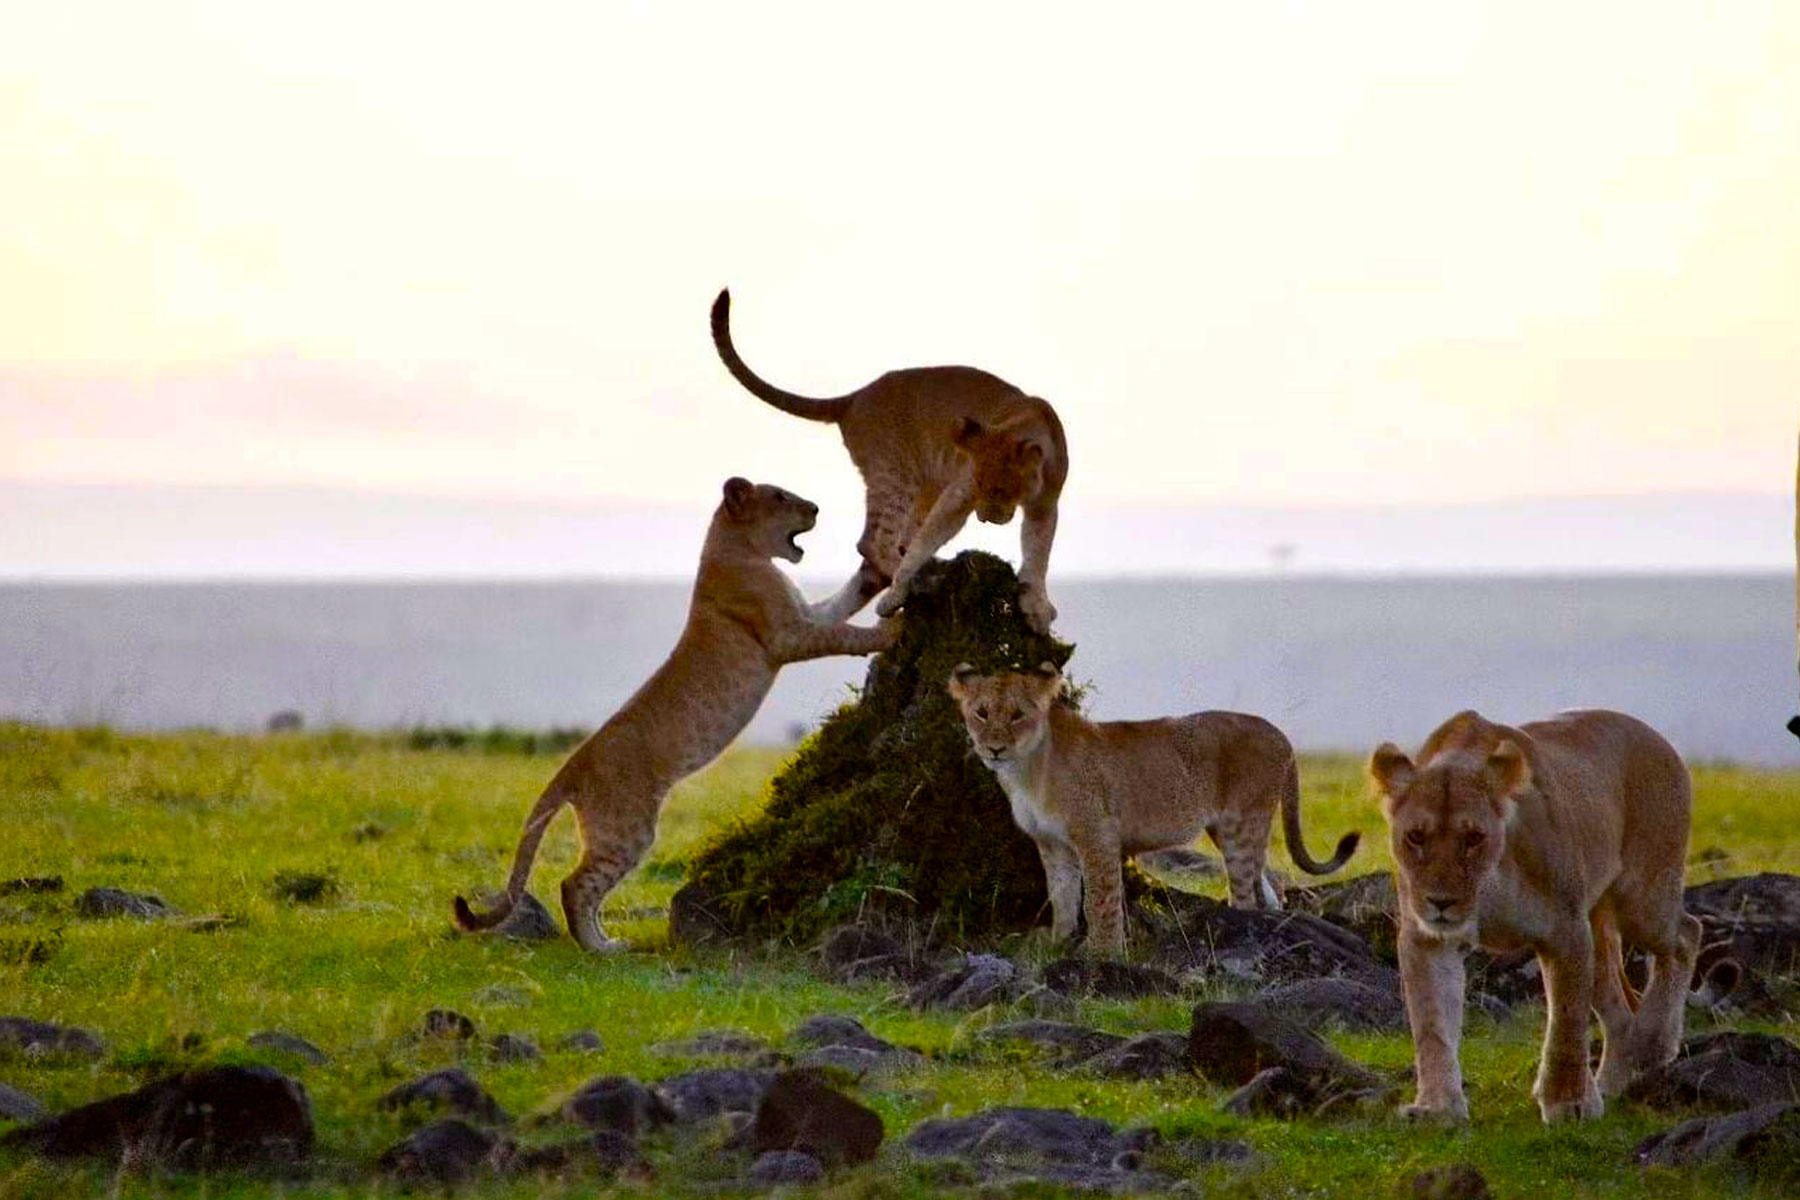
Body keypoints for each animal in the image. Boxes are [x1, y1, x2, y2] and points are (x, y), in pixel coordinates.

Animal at [453, 478, 896, 957]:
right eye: (780, 496)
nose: (815, 507)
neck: (737, 548)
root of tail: (574, 764)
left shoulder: (806, 615)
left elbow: (844, 602)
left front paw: (877, 574)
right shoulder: (788, 635)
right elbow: (844, 634)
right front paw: (893, 629)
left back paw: (603, 940)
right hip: (627, 827)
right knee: (574, 885)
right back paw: (603, 948)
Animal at [705, 287, 1065, 636]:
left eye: (1001, 490)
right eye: (979, 486)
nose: (986, 518)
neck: (1024, 426)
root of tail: (854, 398)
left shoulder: (1045, 504)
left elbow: (1038, 552)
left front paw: (1035, 605)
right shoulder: (959, 492)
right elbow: (928, 539)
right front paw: (901, 587)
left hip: (919, 488)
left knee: (883, 554)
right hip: (896, 475)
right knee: (873, 543)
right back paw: (917, 583)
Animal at [950, 665, 1353, 957]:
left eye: (1016, 715)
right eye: (981, 713)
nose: (994, 748)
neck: (1024, 771)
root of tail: (1280, 733)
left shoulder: (1098, 836)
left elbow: (1100, 901)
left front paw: (1103, 956)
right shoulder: (1052, 845)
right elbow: (1062, 897)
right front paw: (1059, 944)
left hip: (1243, 823)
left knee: (1246, 894)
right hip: (1226, 829)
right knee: (1267, 885)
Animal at [1368, 708, 1692, 1122]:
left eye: (1473, 838)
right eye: (1415, 837)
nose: (1440, 902)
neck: (1487, 885)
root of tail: (1657, 737)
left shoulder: (1565, 931)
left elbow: (1566, 1023)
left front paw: (1567, 1104)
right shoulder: (1428, 939)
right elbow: (1432, 1025)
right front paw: (1437, 1109)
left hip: (1643, 897)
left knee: (1686, 935)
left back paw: (1654, 1042)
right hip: (1600, 925)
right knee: (1619, 1010)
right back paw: (1610, 1084)